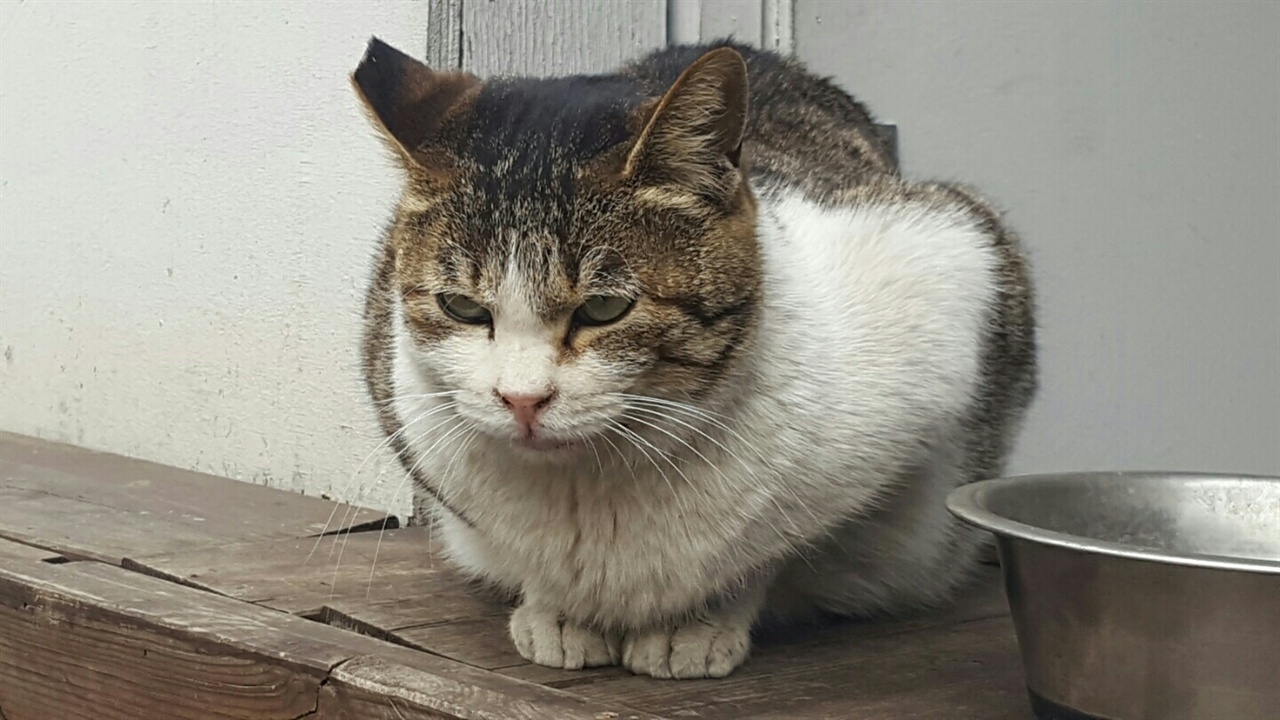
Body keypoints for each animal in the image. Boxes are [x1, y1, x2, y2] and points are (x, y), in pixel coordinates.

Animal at [353, 36, 1039, 676]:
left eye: (604, 309)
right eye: (462, 308)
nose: (522, 400)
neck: (591, 487)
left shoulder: (954, 253)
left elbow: (769, 550)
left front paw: (696, 624)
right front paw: (557, 609)